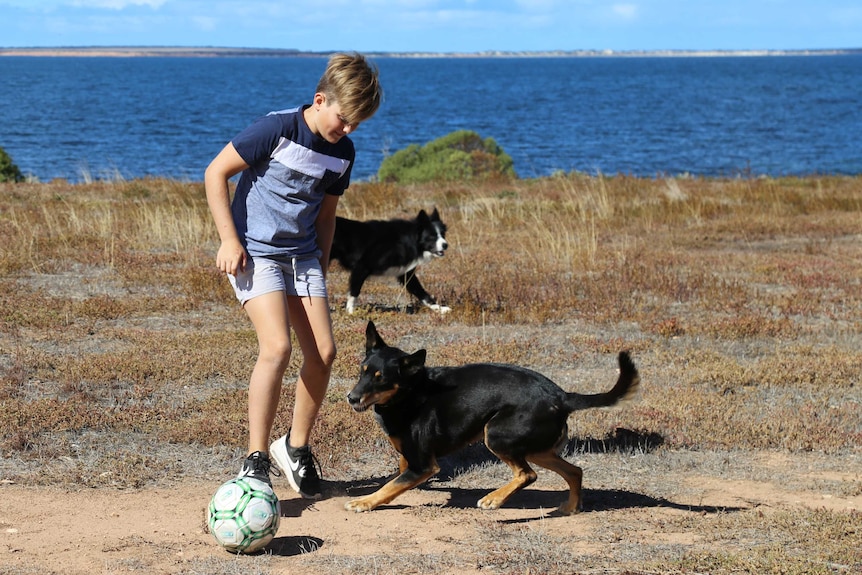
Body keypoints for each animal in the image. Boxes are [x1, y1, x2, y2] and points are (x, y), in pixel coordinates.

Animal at [346, 322, 640, 516]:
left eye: (381, 379)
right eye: (362, 371)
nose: (351, 397)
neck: (410, 392)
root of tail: (562, 395)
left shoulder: (424, 465)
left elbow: (391, 485)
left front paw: (365, 502)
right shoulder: (410, 457)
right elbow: (397, 478)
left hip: (497, 435)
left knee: (527, 474)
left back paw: (493, 500)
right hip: (537, 449)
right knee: (574, 471)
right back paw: (570, 507)